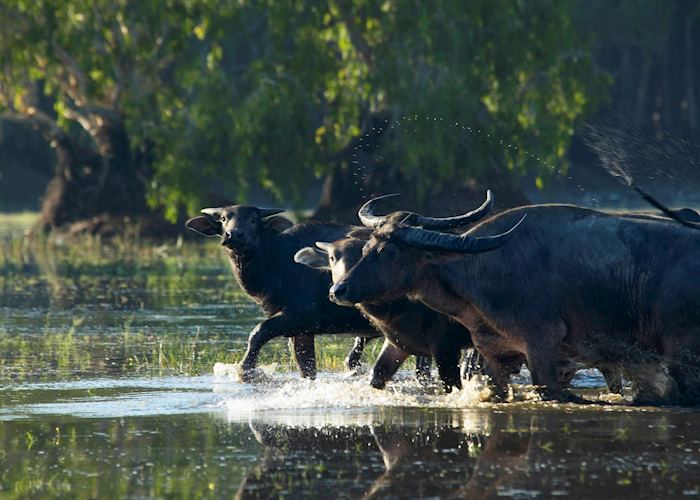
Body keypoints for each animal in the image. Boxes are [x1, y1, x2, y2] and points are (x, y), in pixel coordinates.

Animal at [330, 197, 700, 404]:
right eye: (368, 245)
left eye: (390, 252)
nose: (338, 291)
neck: (482, 270)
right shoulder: (494, 355)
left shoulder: (543, 348)